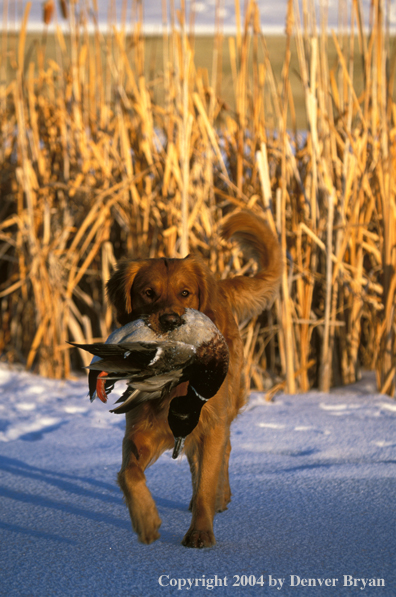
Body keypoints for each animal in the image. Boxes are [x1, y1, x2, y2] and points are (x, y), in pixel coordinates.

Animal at [106, 211, 282, 548]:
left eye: (185, 292)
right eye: (148, 293)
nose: (171, 321)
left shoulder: (211, 423)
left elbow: (206, 484)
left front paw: (200, 532)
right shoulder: (141, 429)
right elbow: (129, 474)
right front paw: (146, 521)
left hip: (224, 408)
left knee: (222, 452)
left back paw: (220, 497)